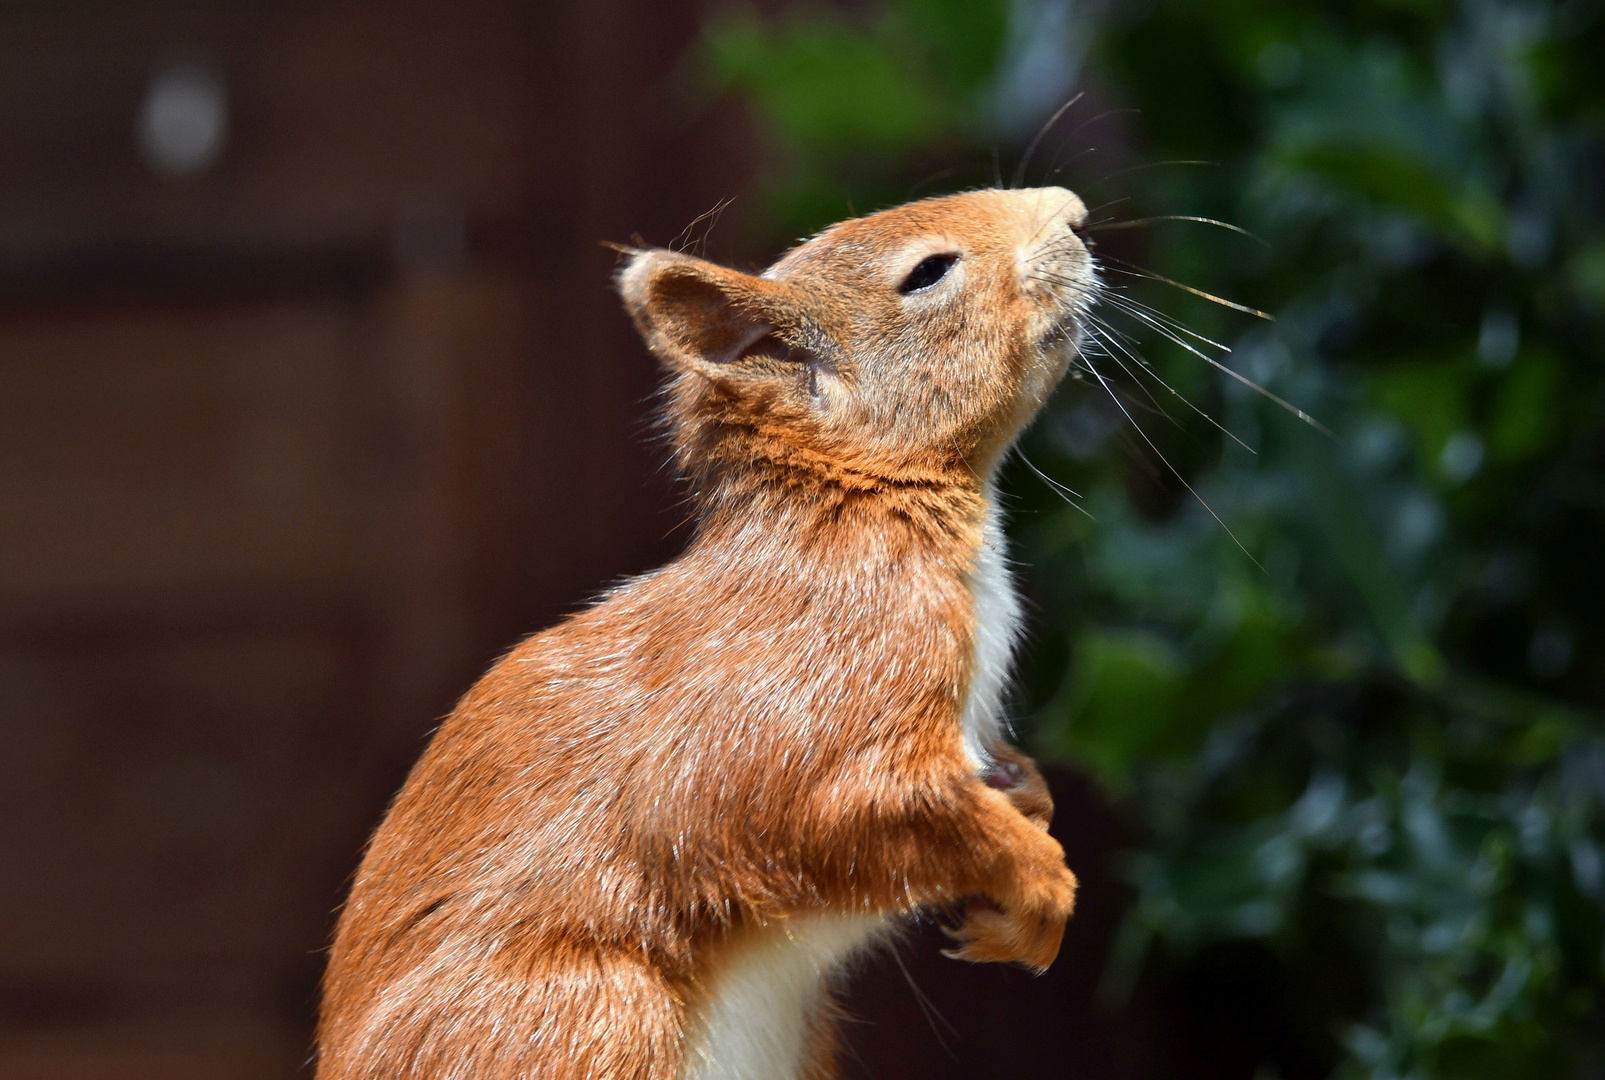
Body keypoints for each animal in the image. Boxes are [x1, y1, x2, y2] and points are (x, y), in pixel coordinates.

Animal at [316, 185, 1091, 1078]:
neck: (855, 514)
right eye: (928, 272)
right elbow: (858, 809)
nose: (1072, 213)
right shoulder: (816, 694)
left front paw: (1029, 802)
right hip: (588, 1020)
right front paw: (1041, 884)